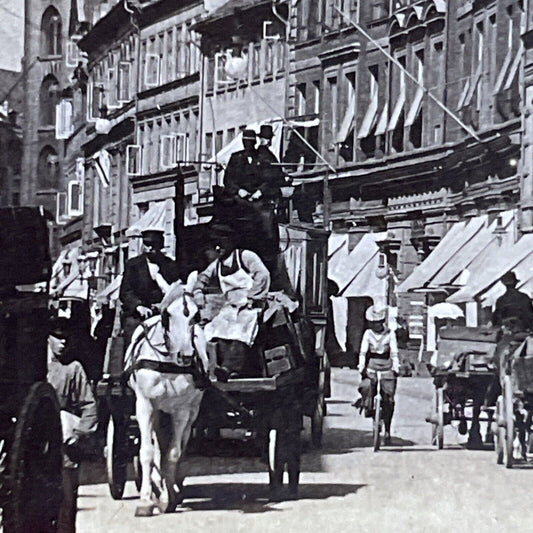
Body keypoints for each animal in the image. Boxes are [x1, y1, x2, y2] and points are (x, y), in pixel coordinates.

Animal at [123, 276, 209, 512]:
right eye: (166, 315)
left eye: (195, 316)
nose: (185, 356)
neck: (167, 363)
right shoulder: (145, 405)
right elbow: (146, 452)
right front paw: (146, 500)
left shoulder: (181, 411)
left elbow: (173, 453)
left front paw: (168, 495)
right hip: (157, 411)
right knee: (155, 446)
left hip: (191, 411)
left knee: (180, 445)